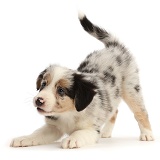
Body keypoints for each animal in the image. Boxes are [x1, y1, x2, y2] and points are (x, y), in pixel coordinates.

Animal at [10, 12, 154, 149]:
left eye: (61, 90)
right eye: (43, 84)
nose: (38, 100)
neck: (68, 114)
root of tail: (113, 47)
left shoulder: (92, 129)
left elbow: (79, 133)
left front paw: (71, 139)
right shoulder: (53, 127)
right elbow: (37, 133)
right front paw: (23, 138)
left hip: (131, 88)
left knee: (141, 112)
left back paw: (147, 135)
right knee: (114, 111)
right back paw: (106, 132)